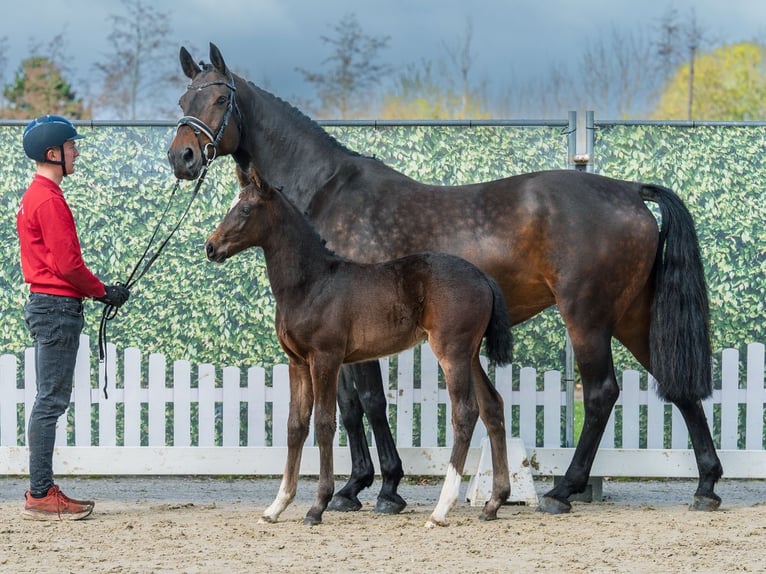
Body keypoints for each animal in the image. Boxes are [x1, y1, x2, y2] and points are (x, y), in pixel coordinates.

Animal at [205, 168, 513, 527]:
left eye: (244, 210)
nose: (210, 247)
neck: (311, 283)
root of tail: (483, 278)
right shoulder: (298, 363)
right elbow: (296, 426)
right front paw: (276, 506)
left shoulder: (325, 358)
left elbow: (325, 423)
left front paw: (318, 506)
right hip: (470, 353)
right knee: (492, 406)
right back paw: (493, 503)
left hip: (451, 352)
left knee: (465, 413)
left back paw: (440, 510)